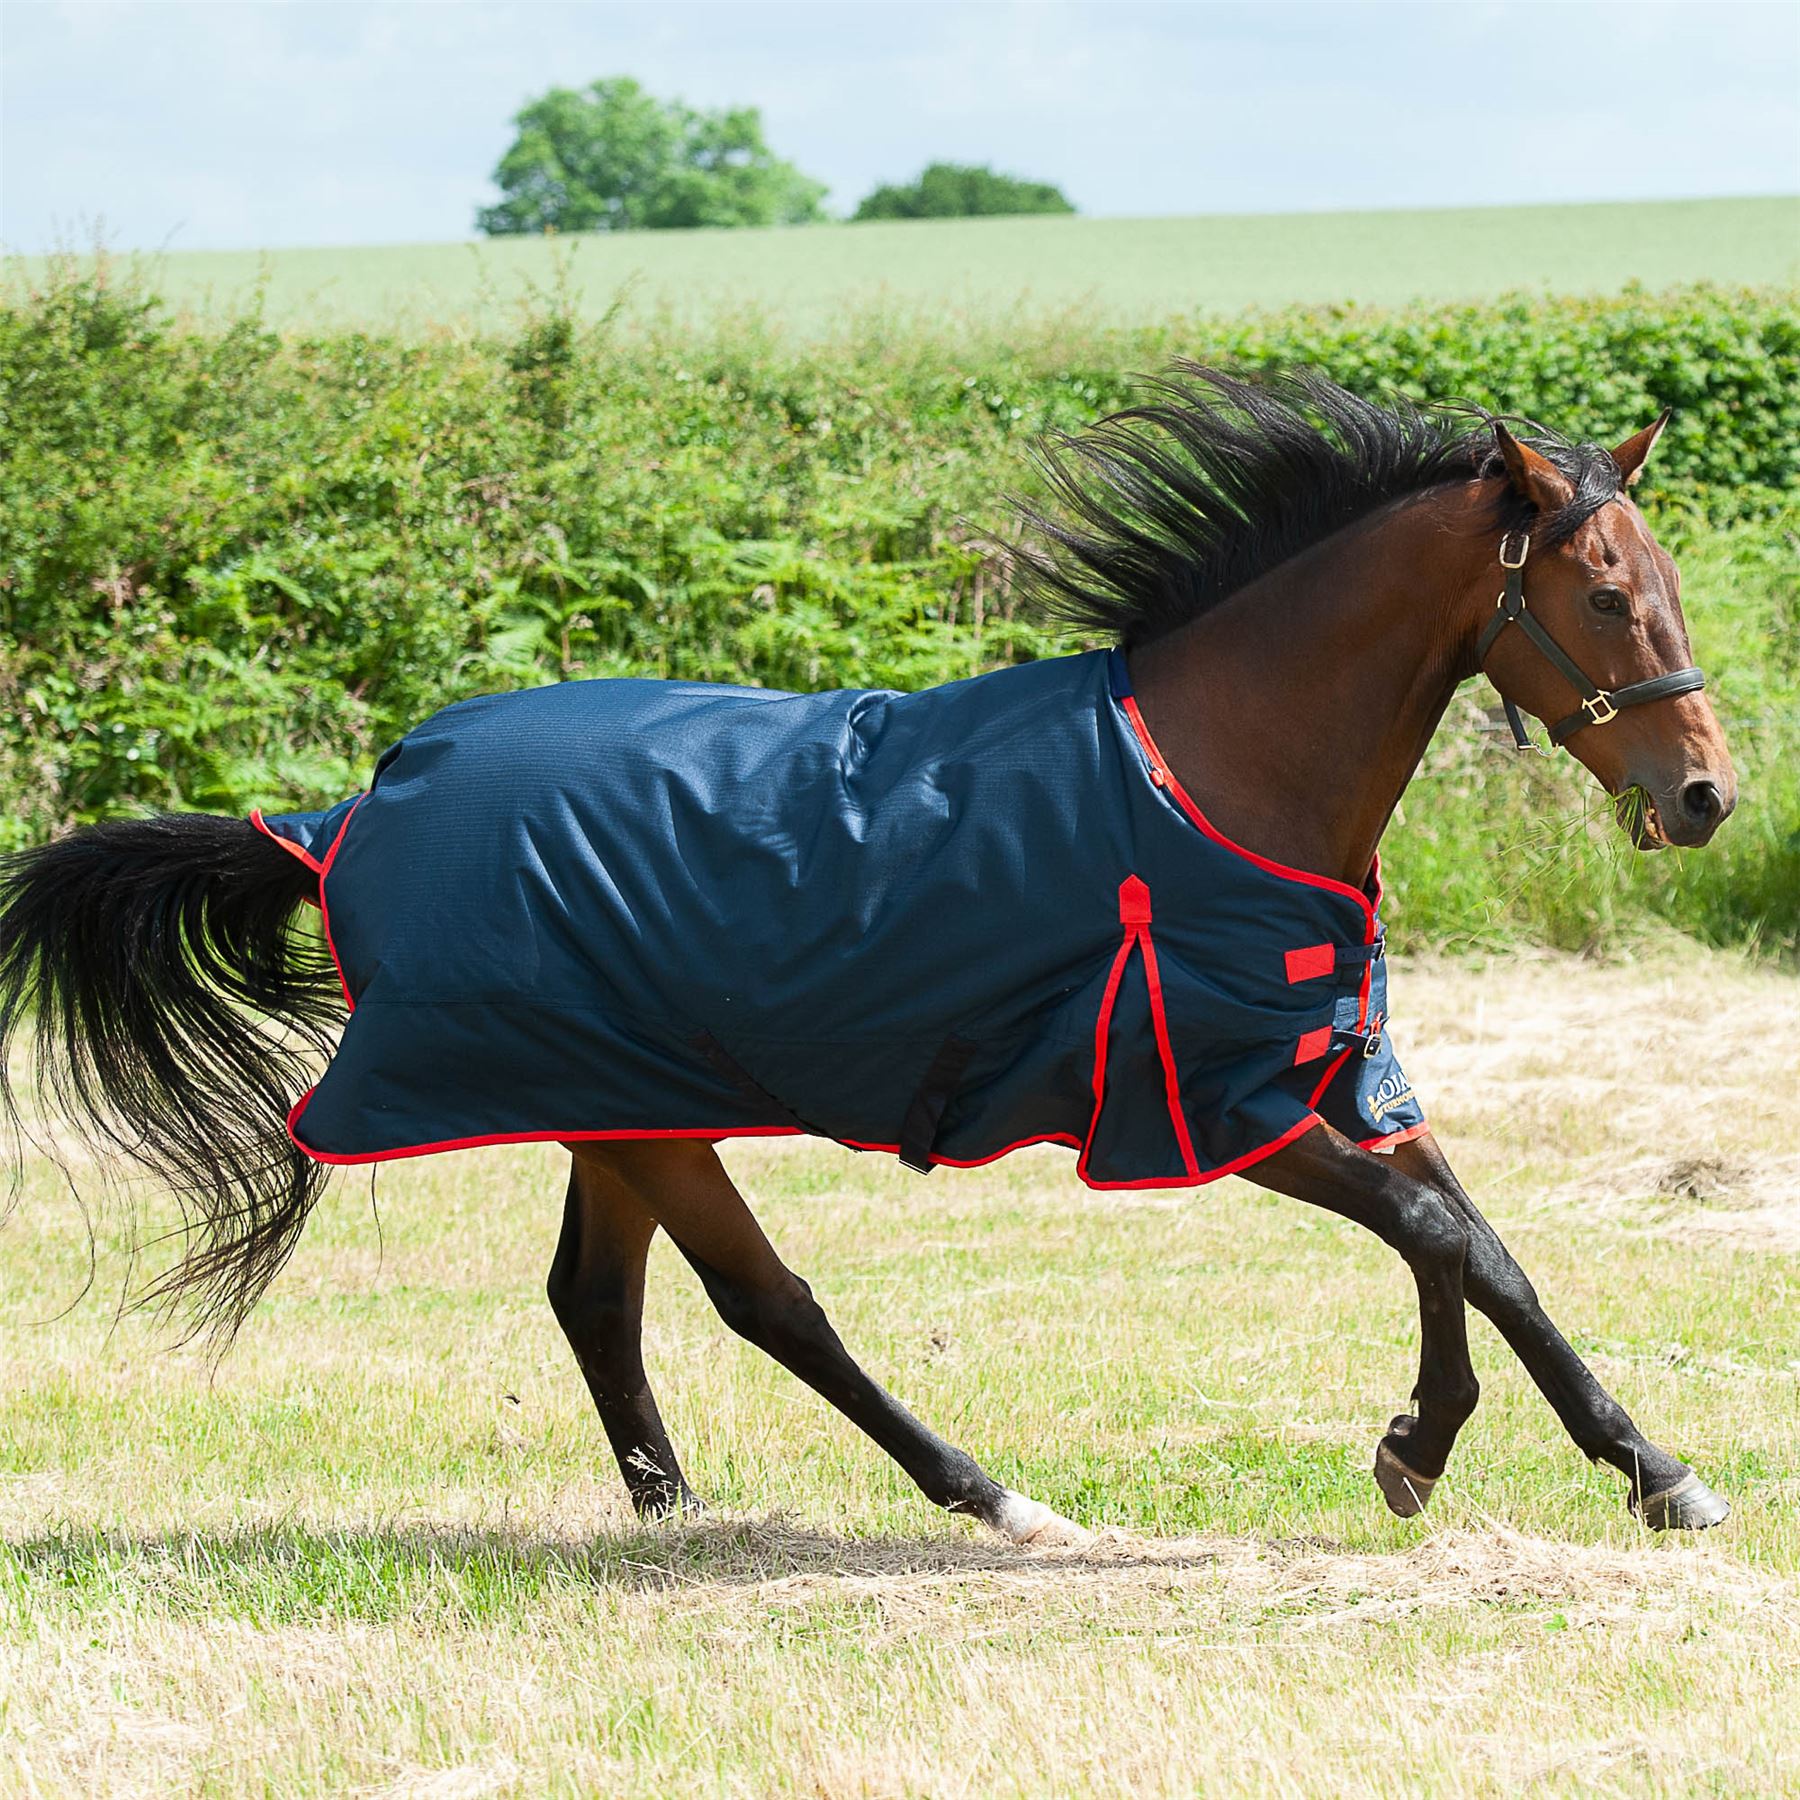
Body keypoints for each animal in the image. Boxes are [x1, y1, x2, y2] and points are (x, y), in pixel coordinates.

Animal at [0, 369, 1738, 1541]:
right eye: (1603, 595)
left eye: (1663, 583)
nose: (1705, 796)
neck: (1215, 767)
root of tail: (355, 807)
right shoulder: (1217, 1103)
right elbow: (1437, 1238)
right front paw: (1426, 1448)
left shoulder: (1325, 1070)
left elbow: (1483, 1247)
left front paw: (1643, 1472)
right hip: (644, 1114)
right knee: (768, 1304)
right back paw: (991, 1499)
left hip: (621, 1104)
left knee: (596, 1301)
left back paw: (677, 1514)